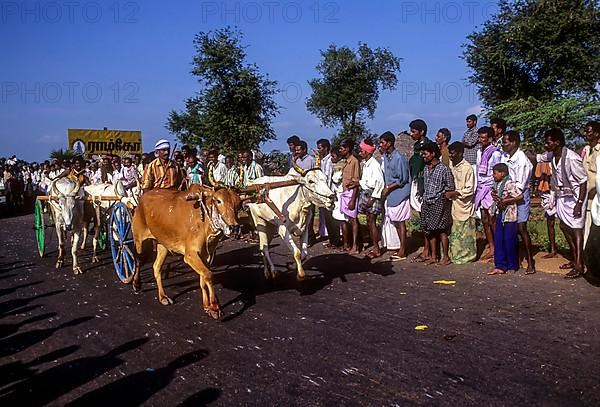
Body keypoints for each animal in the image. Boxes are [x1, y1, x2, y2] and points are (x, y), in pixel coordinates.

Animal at [132, 186, 240, 322]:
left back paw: (163, 297)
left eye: (238, 204)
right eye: (218, 201)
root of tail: (142, 197)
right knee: (138, 259)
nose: (234, 228)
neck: (206, 223)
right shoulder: (190, 255)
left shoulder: (207, 256)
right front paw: (215, 307)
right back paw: (136, 283)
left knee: (156, 267)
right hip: (139, 239)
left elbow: (203, 278)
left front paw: (207, 306)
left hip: (163, 245)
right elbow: (209, 275)